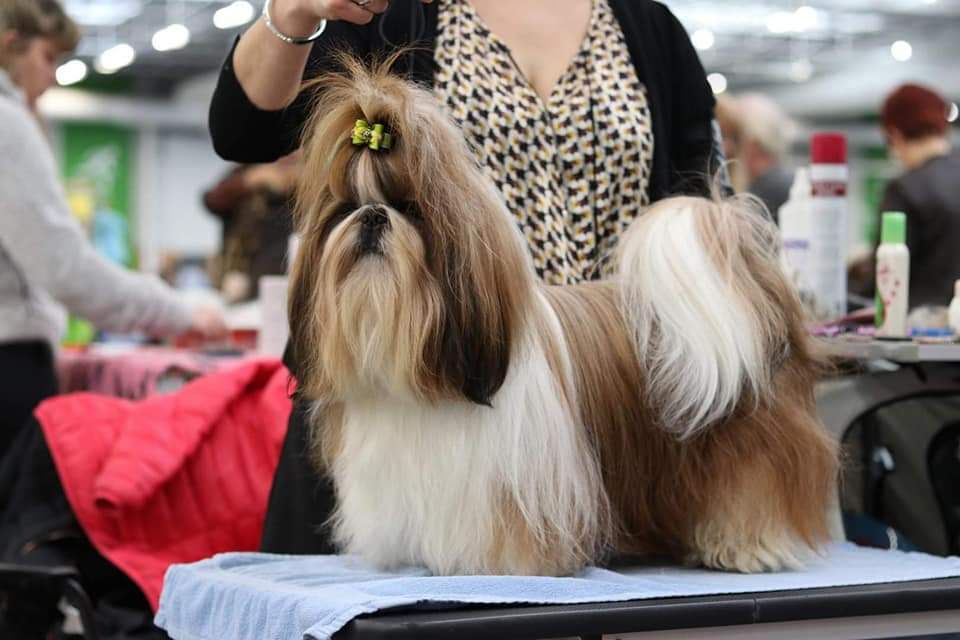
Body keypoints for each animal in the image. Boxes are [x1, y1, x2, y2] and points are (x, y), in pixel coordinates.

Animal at [288, 55, 836, 576]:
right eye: (345, 209)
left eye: (411, 209)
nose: (372, 216)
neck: (423, 380)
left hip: (746, 445)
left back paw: (746, 548)